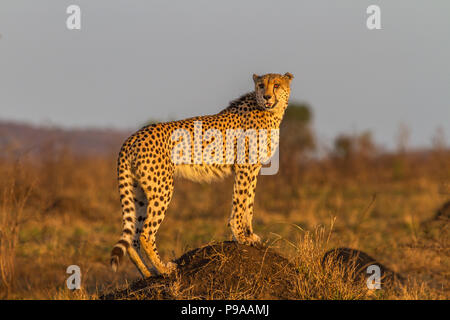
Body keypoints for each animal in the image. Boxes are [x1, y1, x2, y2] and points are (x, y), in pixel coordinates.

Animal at [110, 72, 294, 278]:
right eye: (261, 85)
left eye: (276, 85)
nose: (267, 97)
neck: (270, 111)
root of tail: (132, 137)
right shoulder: (244, 167)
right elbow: (240, 202)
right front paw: (240, 236)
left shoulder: (253, 169)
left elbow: (249, 203)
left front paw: (250, 235)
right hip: (162, 188)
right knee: (146, 233)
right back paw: (164, 269)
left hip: (139, 192)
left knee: (132, 237)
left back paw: (148, 273)